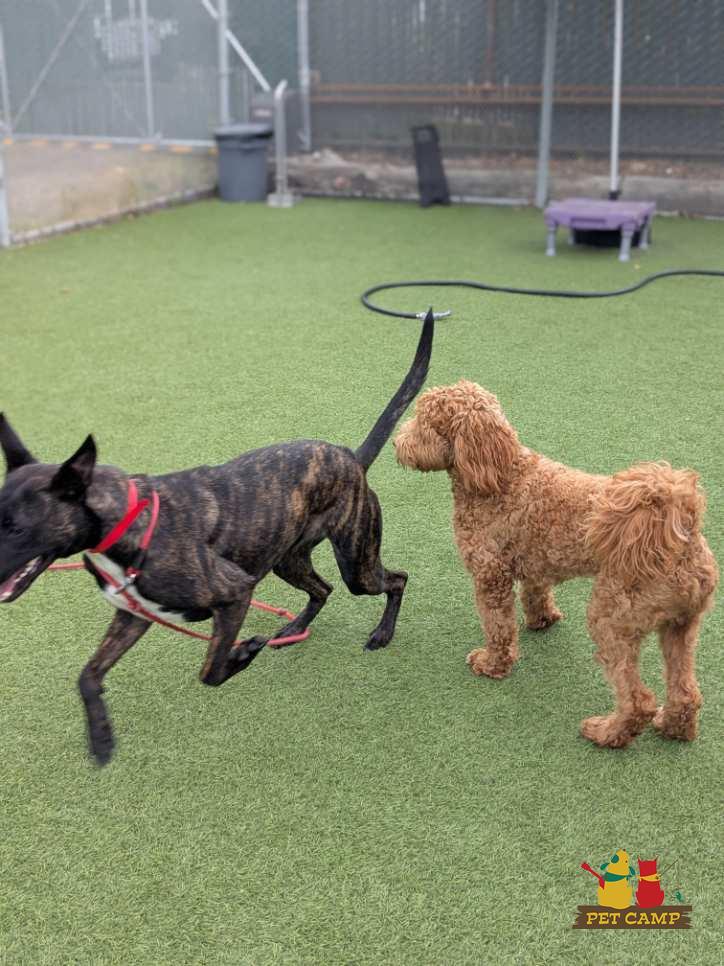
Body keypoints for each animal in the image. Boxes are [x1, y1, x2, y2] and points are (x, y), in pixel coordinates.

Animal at [0, 311, 433, 765]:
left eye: (17, 528)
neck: (126, 518)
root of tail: (350, 456)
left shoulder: (235, 593)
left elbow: (209, 671)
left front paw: (243, 653)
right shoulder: (133, 615)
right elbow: (88, 675)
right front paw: (100, 737)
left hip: (356, 563)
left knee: (395, 580)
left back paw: (382, 634)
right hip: (288, 559)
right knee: (323, 588)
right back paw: (295, 627)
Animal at [394, 379, 718, 748]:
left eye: (424, 423)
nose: (396, 443)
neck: (502, 474)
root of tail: (682, 531)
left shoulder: (490, 574)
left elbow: (497, 627)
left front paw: (492, 665)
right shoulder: (536, 561)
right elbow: (535, 593)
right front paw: (543, 620)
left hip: (613, 616)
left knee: (638, 700)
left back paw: (607, 732)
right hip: (681, 625)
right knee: (686, 691)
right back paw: (674, 727)